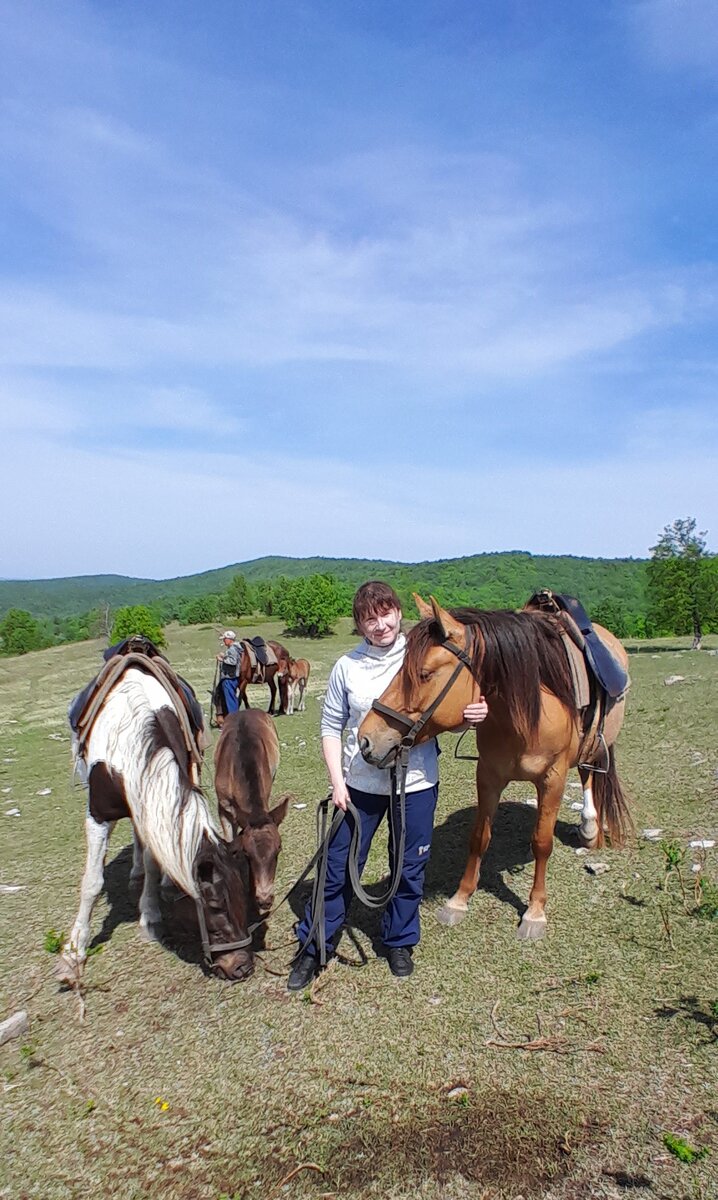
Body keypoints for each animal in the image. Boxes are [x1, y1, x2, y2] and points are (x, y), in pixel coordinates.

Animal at [59, 667, 255, 984]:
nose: (241, 967)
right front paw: (73, 952)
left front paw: (149, 915)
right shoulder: (98, 814)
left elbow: (155, 859)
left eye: (243, 895)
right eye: (214, 905)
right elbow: (92, 882)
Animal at [360, 595, 629, 940]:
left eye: (424, 674)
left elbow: (542, 843)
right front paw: (459, 900)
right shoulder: (488, 775)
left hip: (596, 744)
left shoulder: (553, 779)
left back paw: (590, 827)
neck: (524, 713)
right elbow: (479, 837)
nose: (365, 739)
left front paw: (535, 911)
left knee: (589, 773)